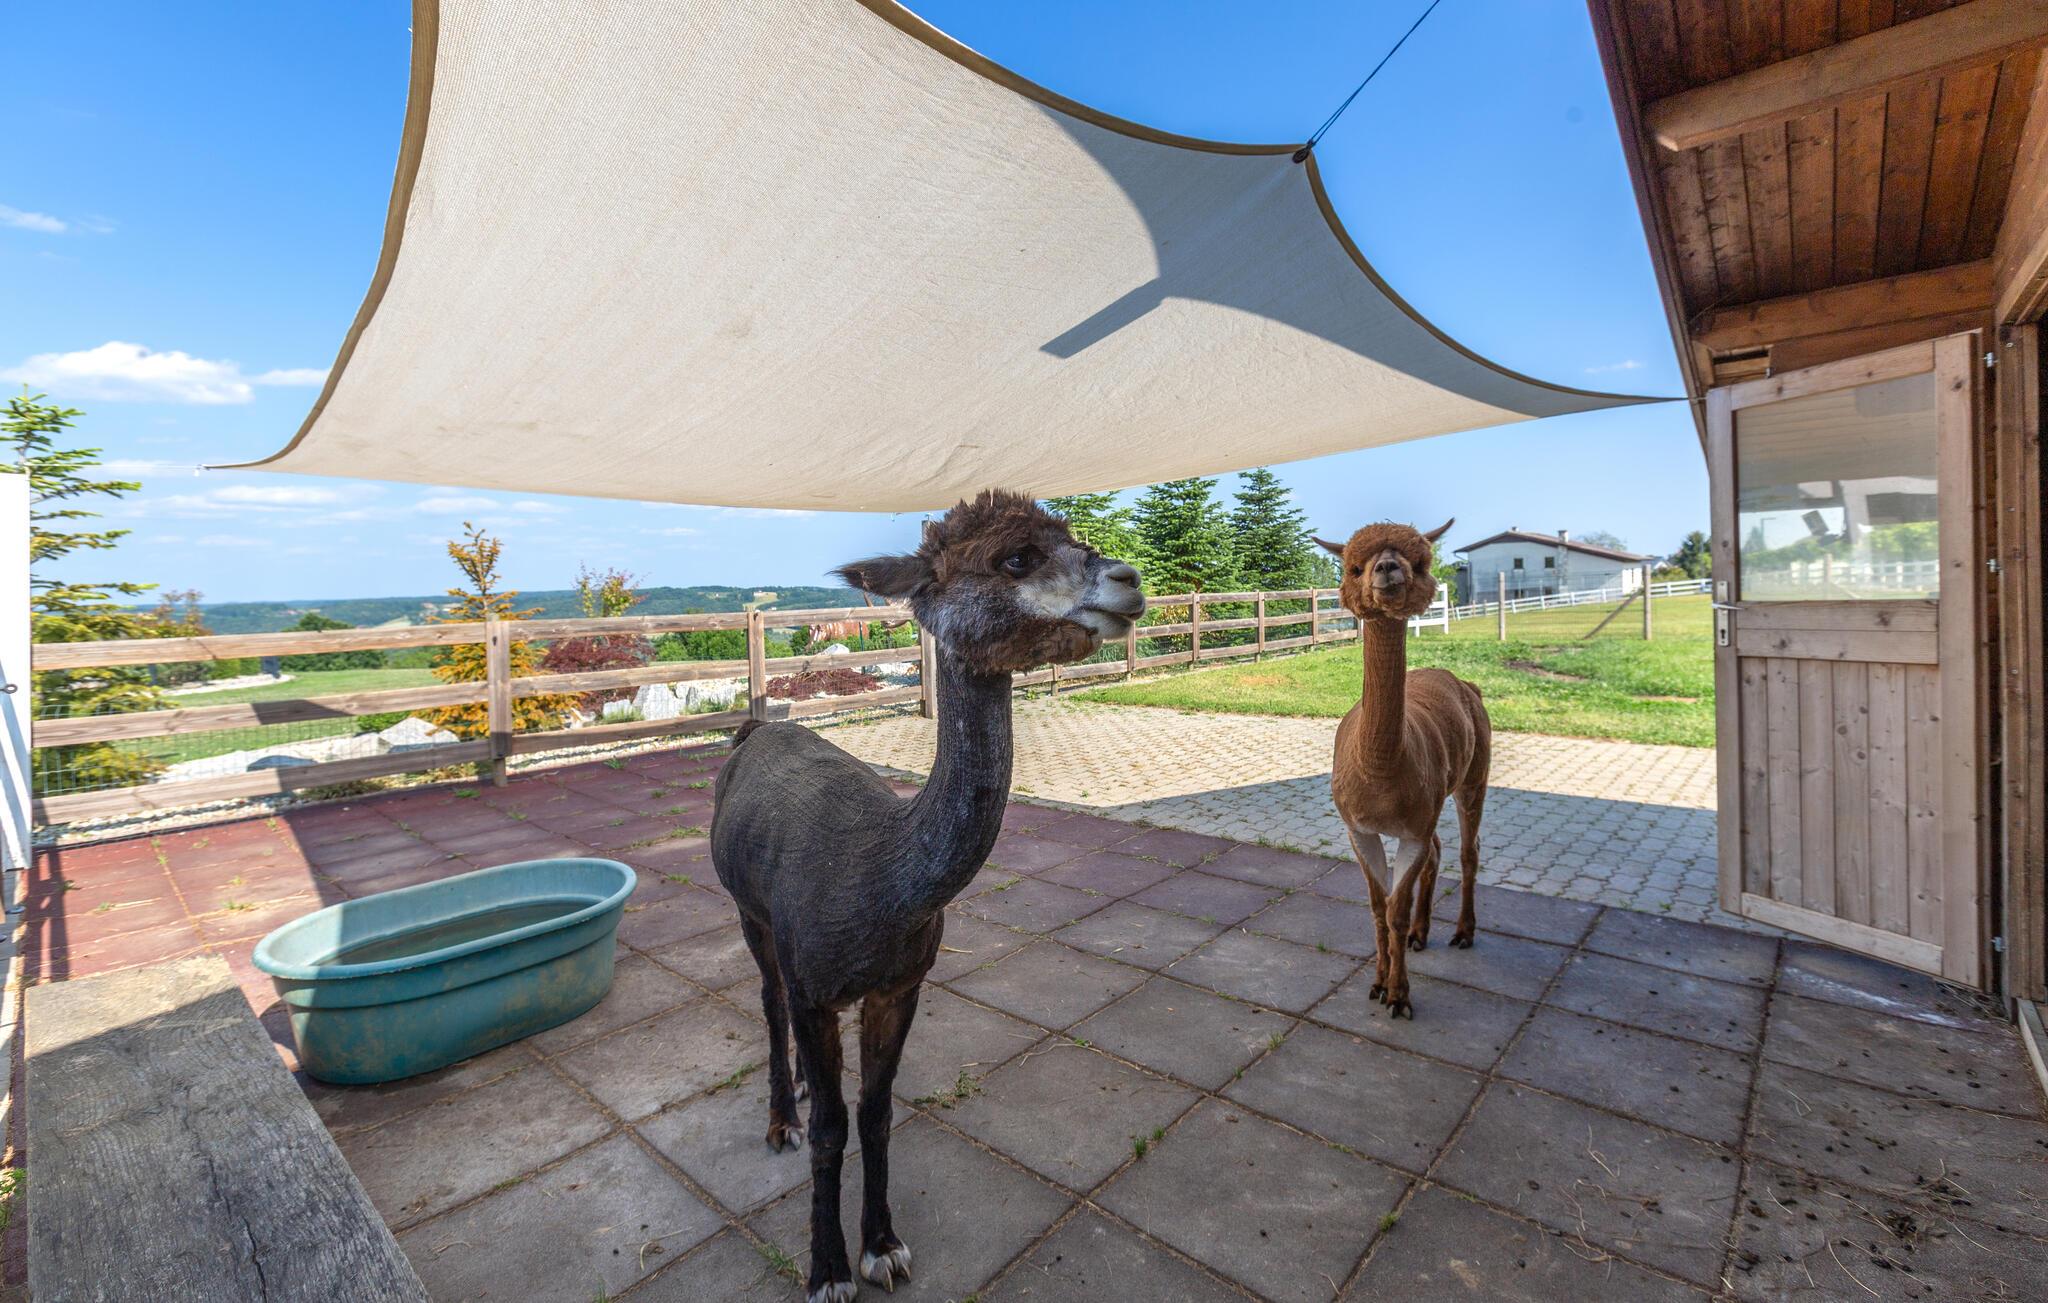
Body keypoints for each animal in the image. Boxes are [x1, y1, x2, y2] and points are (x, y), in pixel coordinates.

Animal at [711, 489, 1145, 1303]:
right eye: (1015, 558)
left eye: (1074, 535)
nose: (1129, 580)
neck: (875, 880)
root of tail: (756, 728)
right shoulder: (817, 982)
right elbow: (832, 1130)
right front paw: (828, 1269)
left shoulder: (901, 984)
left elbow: (876, 1113)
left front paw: (882, 1246)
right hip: (751, 913)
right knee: (769, 998)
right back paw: (782, 1116)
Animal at [1315, 519, 1490, 1019]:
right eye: (1353, 567)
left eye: (1421, 561)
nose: (1387, 568)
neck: (1381, 775)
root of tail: (1462, 682)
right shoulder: (1359, 827)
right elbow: (1379, 906)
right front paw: (1377, 982)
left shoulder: (1412, 825)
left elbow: (1394, 906)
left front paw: (1398, 996)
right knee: (1437, 850)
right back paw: (1419, 933)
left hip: (1475, 775)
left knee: (1468, 851)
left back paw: (1463, 932)